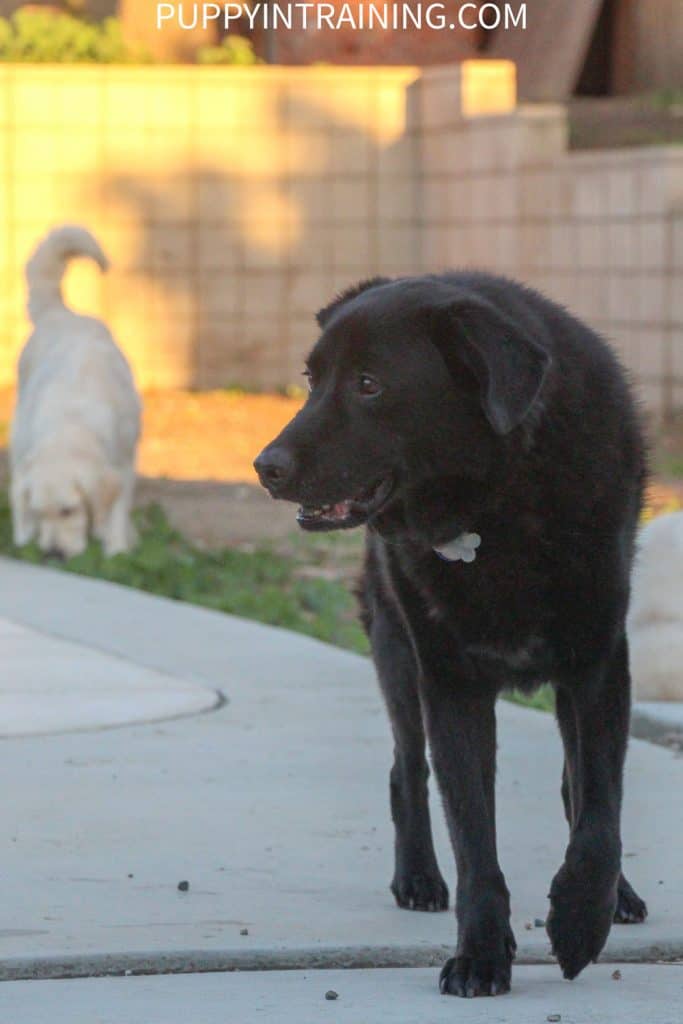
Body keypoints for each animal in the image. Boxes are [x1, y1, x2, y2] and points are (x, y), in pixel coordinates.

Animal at [253, 272, 651, 991]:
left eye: (368, 383)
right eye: (310, 379)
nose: (265, 466)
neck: (497, 503)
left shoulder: (600, 664)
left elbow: (599, 810)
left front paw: (582, 919)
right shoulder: (449, 682)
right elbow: (472, 836)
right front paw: (481, 952)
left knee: (577, 787)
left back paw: (618, 897)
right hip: (395, 654)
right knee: (407, 768)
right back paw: (416, 877)